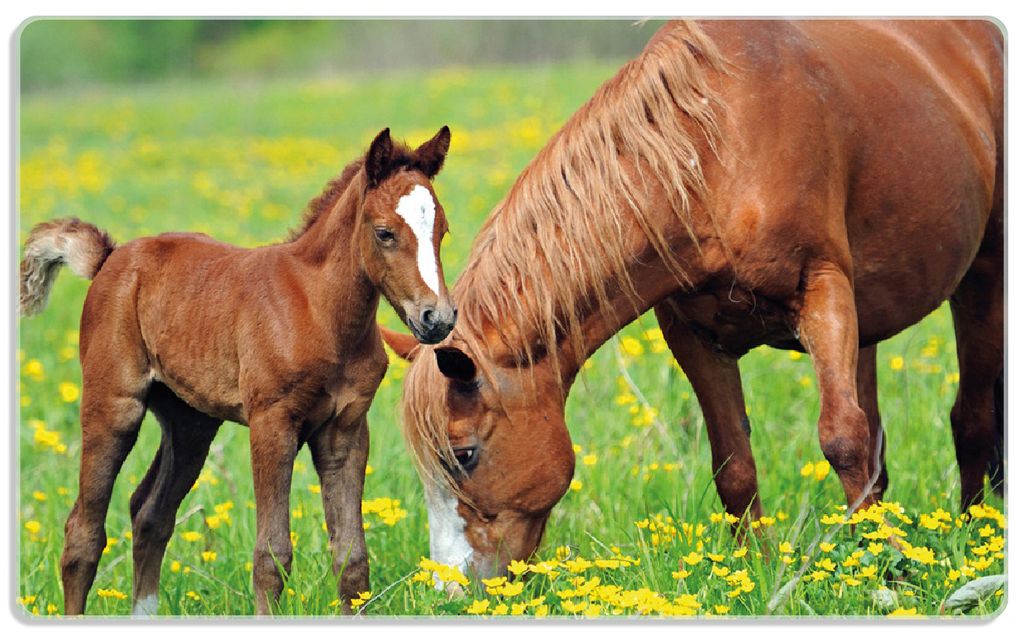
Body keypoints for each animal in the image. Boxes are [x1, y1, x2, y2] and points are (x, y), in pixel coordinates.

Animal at [19, 126, 458, 615]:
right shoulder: (271, 423)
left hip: (190, 422)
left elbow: (351, 559)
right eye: (384, 233)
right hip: (114, 405)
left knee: (150, 513)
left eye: (442, 231)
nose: (436, 318)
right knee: (83, 533)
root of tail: (110, 259)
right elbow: (272, 555)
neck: (318, 310)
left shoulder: (345, 430)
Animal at [383, 20, 1004, 582]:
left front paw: (889, 568)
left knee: (968, 417)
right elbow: (734, 463)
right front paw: (758, 572)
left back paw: (974, 536)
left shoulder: (823, 290)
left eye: (464, 454)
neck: (716, 151)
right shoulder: (693, 334)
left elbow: (843, 438)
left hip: (981, 278)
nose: (452, 587)